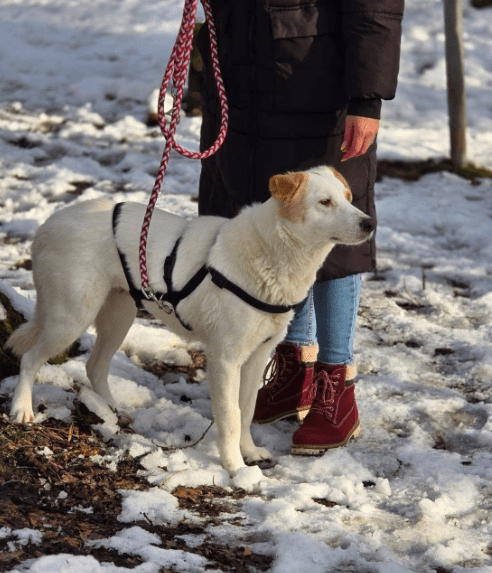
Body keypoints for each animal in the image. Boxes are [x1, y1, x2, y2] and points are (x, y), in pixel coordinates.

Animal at [6, 165, 372, 474]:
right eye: (325, 202)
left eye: (348, 197)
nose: (369, 223)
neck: (272, 253)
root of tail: (49, 224)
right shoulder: (225, 360)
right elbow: (232, 417)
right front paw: (236, 470)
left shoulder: (257, 357)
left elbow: (247, 410)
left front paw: (249, 453)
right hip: (72, 316)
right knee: (30, 358)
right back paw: (22, 408)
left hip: (118, 316)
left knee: (94, 366)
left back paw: (111, 411)